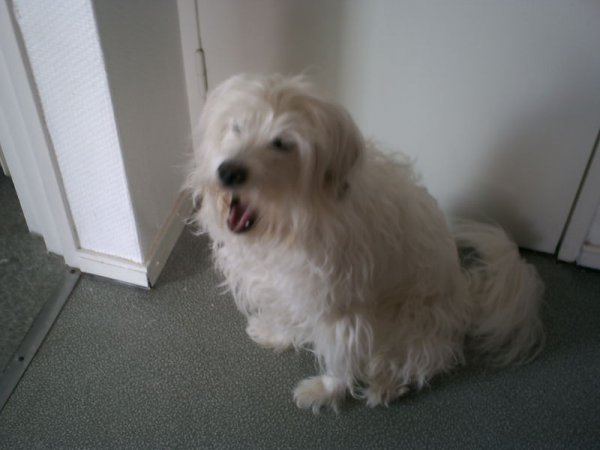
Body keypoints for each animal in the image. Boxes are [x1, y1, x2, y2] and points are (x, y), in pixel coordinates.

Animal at [186, 73, 544, 412]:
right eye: (237, 126)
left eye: (281, 143)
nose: (228, 172)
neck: (289, 226)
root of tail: (465, 298)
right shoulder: (289, 291)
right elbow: (288, 317)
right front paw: (277, 335)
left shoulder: (343, 314)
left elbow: (340, 360)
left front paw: (325, 392)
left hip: (412, 324)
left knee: (422, 360)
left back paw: (387, 385)